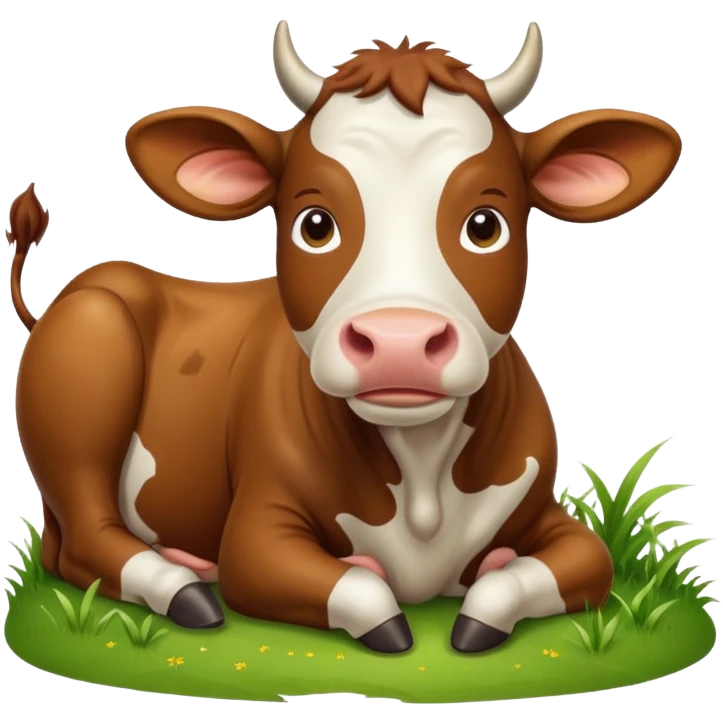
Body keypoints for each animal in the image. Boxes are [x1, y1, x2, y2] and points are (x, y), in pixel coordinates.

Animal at [9, 20, 681, 655]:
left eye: (486, 224)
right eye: (315, 224)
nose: (400, 341)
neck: (421, 471)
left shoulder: (548, 514)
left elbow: (576, 566)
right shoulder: (256, 535)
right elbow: (356, 586)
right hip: (90, 348)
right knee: (82, 541)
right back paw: (183, 586)